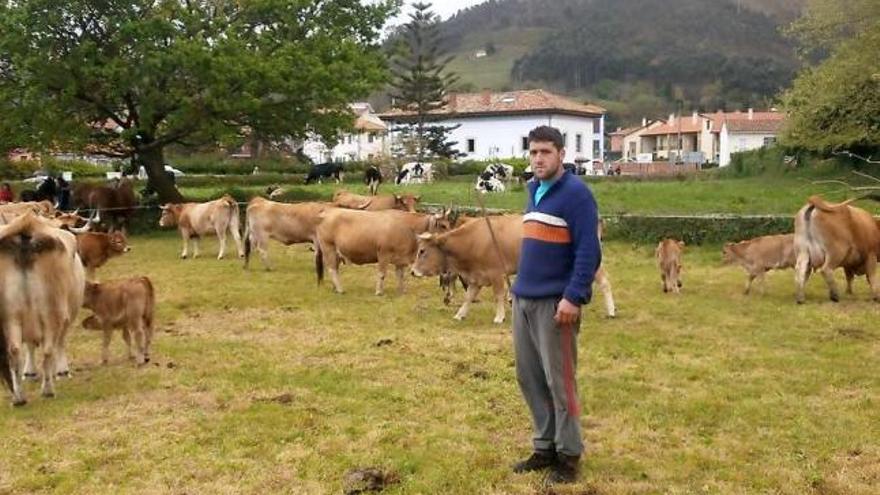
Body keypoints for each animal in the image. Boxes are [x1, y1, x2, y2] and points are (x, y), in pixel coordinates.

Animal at [0, 213, 85, 406]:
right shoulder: (66, 317)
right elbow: (59, 343)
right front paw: (62, 371)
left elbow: (30, 345)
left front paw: (30, 372)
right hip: (52, 312)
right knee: (48, 349)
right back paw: (48, 390)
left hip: (10, 316)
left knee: (14, 351)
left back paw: (19, 398)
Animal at [312, 208, 444, 294]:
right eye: (443, 225)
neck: (406, 226)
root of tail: (327, 212)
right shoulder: (383, 253)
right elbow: (382, 273)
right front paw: (379, 292)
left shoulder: (400, 257)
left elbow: (400, 275)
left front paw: (402, 291)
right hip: (328, 247)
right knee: (332, 269)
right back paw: (340, 290)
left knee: (335, 268)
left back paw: (335, 288)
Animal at [416, 214, 616, 324]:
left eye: (422, 251)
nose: (413, 271)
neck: (473, 239)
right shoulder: (477, 277)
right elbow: (468, 297)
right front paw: (460, 314)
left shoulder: (496, 273)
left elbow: (498, 295)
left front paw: (499, 317)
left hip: (593, 263)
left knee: (605, 283)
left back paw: (611, 311)